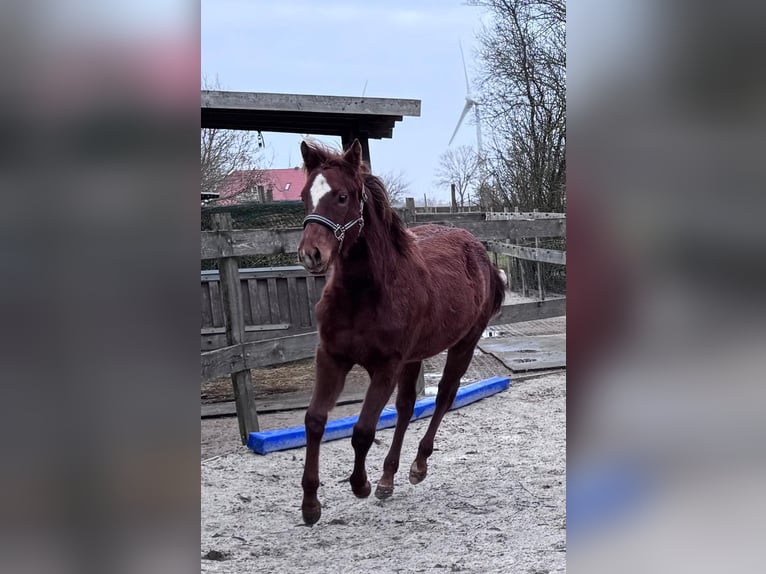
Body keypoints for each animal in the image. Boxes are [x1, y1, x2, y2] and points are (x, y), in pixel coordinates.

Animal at [296, 139, 505, 525]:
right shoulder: (331, 357)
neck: (363, 295)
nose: (311, 255)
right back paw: (388, 478)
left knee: (443, 397)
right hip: (416, 357)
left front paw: (360, 485)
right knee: (407, 407)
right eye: (305, 195)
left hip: (464, 345)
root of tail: (480, 252)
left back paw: (417, 466)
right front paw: (311, 504)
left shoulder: (386, 366)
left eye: (343, 196)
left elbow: (363, 430)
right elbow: (315, 421)